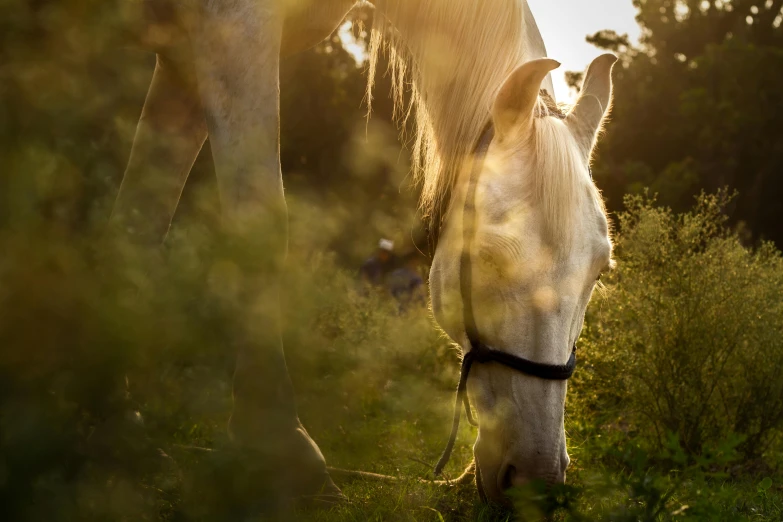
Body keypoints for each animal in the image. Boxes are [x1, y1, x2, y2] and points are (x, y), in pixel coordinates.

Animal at [115, 0, 620, 504]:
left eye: (598, 274)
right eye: (490, 257)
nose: (536, 482)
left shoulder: (181, 61)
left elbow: (141, 221)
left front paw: (119, 416)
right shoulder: (232, 28)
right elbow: (258, 226)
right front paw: (280, 446)